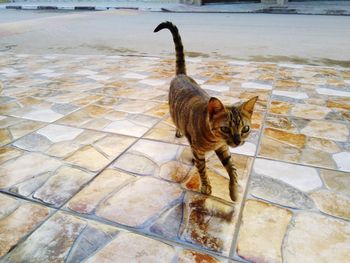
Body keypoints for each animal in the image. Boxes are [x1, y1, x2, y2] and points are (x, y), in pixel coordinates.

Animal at [154, 21, 258, 202]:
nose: (238, 141)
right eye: (225, 128)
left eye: (245, 128)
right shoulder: (200, 150)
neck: (214, 139)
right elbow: (202, 169)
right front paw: (206, 186)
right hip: (174, 112)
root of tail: (181, 75)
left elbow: (232, 170)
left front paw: (234, 191)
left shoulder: (223, 148)